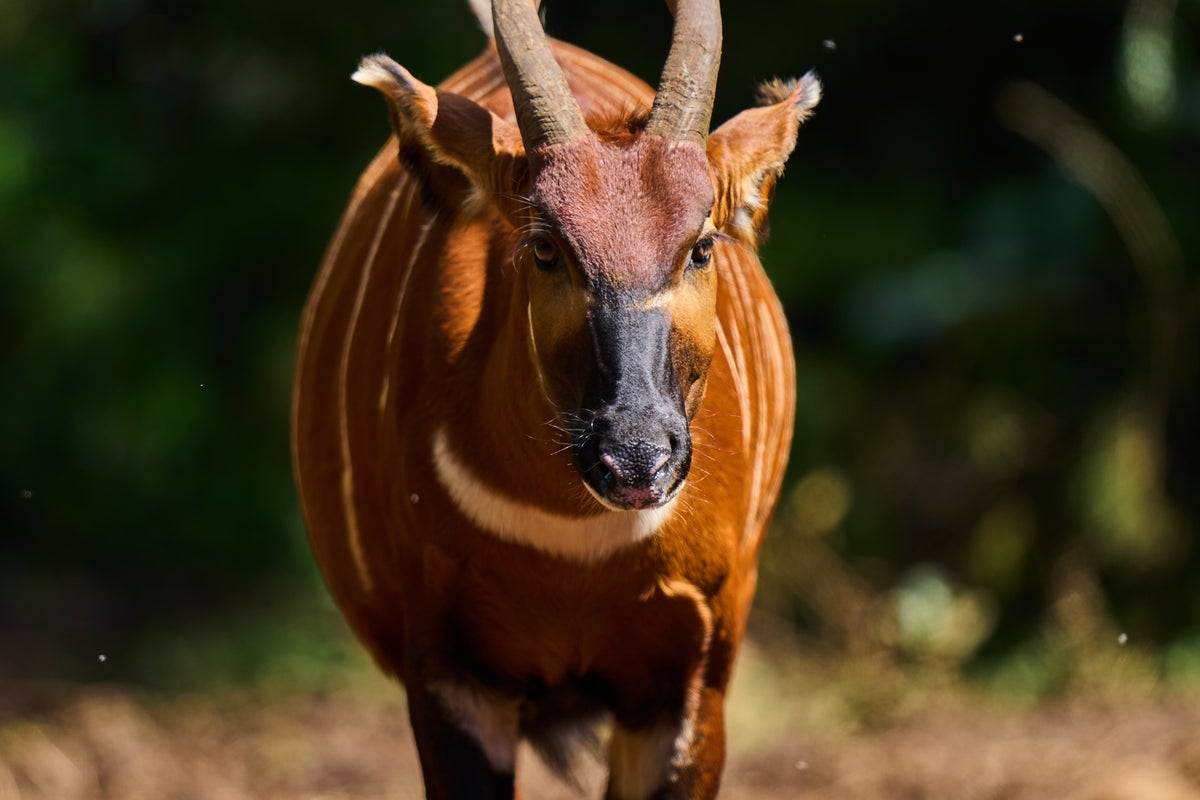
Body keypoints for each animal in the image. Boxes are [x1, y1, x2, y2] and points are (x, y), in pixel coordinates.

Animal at [291, 0, 819, 796]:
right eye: (545, 248)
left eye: (701, 246)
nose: (635, 458)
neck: (575, 544)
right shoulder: (452, 677)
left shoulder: (690, 684)